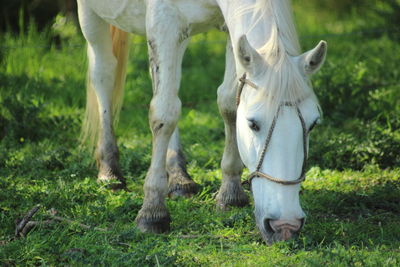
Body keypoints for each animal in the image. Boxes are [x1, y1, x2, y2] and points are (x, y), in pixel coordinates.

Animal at [76, 0, 326, 244]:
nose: (285, 226)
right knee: (104, 73)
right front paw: (152, 212)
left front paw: (230, 193)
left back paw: (178, 177)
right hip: (91, 15)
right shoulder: (163, 24)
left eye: (313, 124)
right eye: (253, 124)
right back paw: (110, 171)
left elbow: (227, 102)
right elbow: (164, 115)